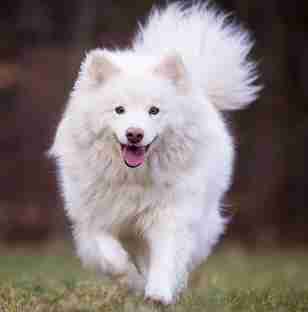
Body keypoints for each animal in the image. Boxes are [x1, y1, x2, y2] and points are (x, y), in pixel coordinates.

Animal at [50, 1, 260, 304]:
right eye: (119, 109)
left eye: (154, 110)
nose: (134, 134)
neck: (132, 178)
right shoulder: (94, 219)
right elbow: (112, 257)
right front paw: (134, 282)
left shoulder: (170, 215)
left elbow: (165, 257)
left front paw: (158, 293)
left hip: (201, 216)